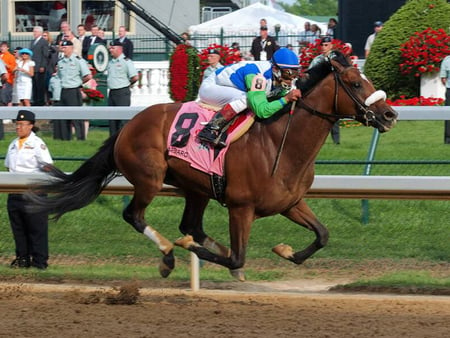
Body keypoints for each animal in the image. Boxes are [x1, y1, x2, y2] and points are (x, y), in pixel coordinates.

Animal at [27, 52, 398, 280]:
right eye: (355, 83)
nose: (390, 115)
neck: (280, 142)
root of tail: (128, 125)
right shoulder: (241, 207)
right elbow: (238, 257)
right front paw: (196, 251)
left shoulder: (290, 203)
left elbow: (322, 235)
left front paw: (285, 250)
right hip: (149, 179)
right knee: (135, 216)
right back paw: (168, 252)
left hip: (197, 188)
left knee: (191, 224)